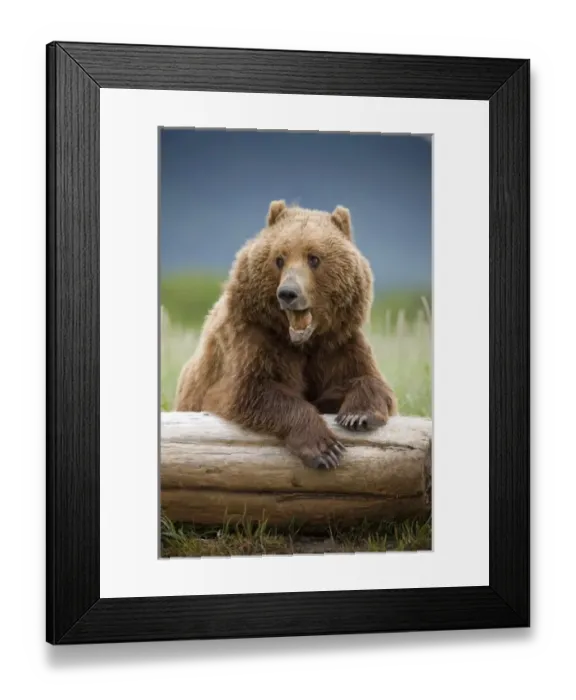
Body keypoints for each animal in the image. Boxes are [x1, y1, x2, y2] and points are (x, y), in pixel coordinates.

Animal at [174, 200, 398, 470]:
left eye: (314, 258)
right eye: (279, 259)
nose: (288, 293)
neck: (304, 342)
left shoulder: (338, 345)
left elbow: (368, 379)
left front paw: (358, 415)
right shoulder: (256, 340)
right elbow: (251, 390)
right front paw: (324, 448)